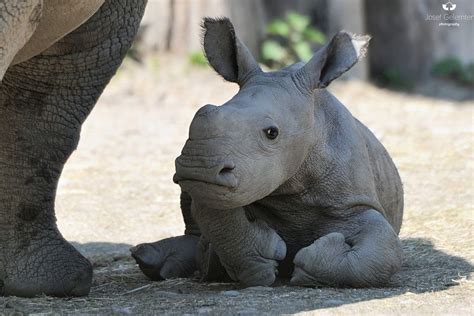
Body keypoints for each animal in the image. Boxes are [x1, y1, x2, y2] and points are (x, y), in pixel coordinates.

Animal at [131, 17, 402, 288]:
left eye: (272, 133)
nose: (198, 167)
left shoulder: (354, 203)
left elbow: (379, 254)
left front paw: (312, 262)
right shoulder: (233, 178)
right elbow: (216, 214)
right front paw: (257, 266)